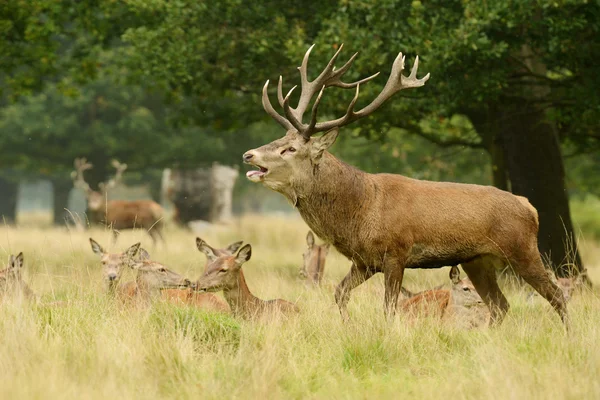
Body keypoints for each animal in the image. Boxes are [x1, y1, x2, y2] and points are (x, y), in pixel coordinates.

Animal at [243, 44, 568, 328]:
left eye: (290, 149)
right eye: (278, 140)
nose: (249, 154)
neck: (359, 213)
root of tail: (530, 207)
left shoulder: (395, 252)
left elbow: (389, 307)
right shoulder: (364, 261)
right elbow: (339, 294)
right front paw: (348, 326)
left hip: (523, 249)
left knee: (557, 295)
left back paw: (568, 336)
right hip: (478, 260)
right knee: (500, 305)